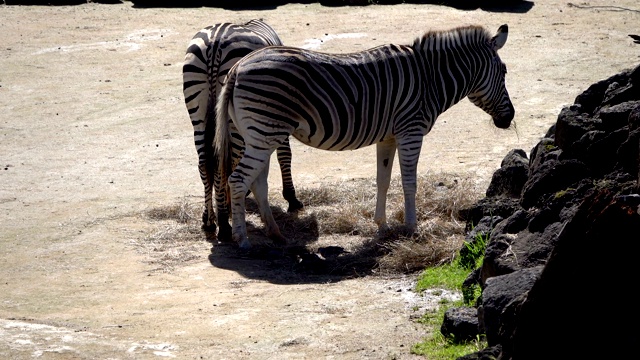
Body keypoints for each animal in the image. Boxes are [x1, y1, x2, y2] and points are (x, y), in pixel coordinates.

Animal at [180, 19, 302, 239]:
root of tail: (216, 41)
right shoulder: (278, 111)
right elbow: (284, 154)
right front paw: (292, 198)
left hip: (198, 110)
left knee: (205, 163)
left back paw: (210, 220)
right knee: (224, 162)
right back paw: (223, 224)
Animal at [215, 22, 516, 248]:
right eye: (504, 72)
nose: (510, 117)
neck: (429, 78)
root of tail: (238, 67)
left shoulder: (388, 136)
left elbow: (383, 180)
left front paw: (381, 226)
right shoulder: (411, 131)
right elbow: (409, 182)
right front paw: (411, 227)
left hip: (258, 136)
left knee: (258, 183)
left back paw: (276, 233)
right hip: (264, 132)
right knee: (238, 180)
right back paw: (242, 239)